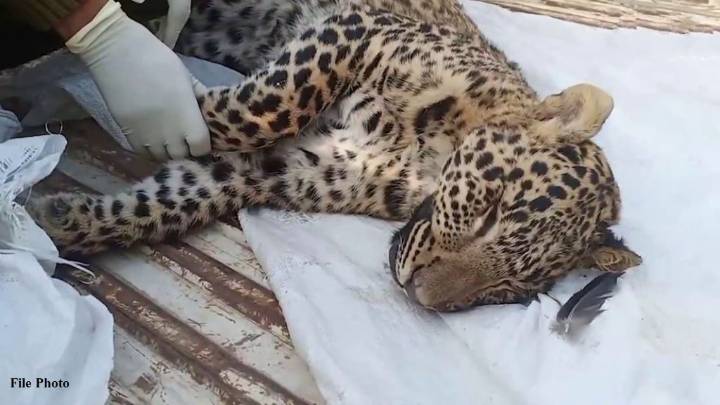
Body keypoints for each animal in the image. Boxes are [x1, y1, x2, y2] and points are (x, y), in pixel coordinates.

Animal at [28, 0, 642, 312]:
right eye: (490, 212)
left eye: (508, 292)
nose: (419, 296)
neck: (422, 165)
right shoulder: (357, 30)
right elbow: (267, 106)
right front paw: (165, 91)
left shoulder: (286, 170)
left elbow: (175, 198)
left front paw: (54, 223)